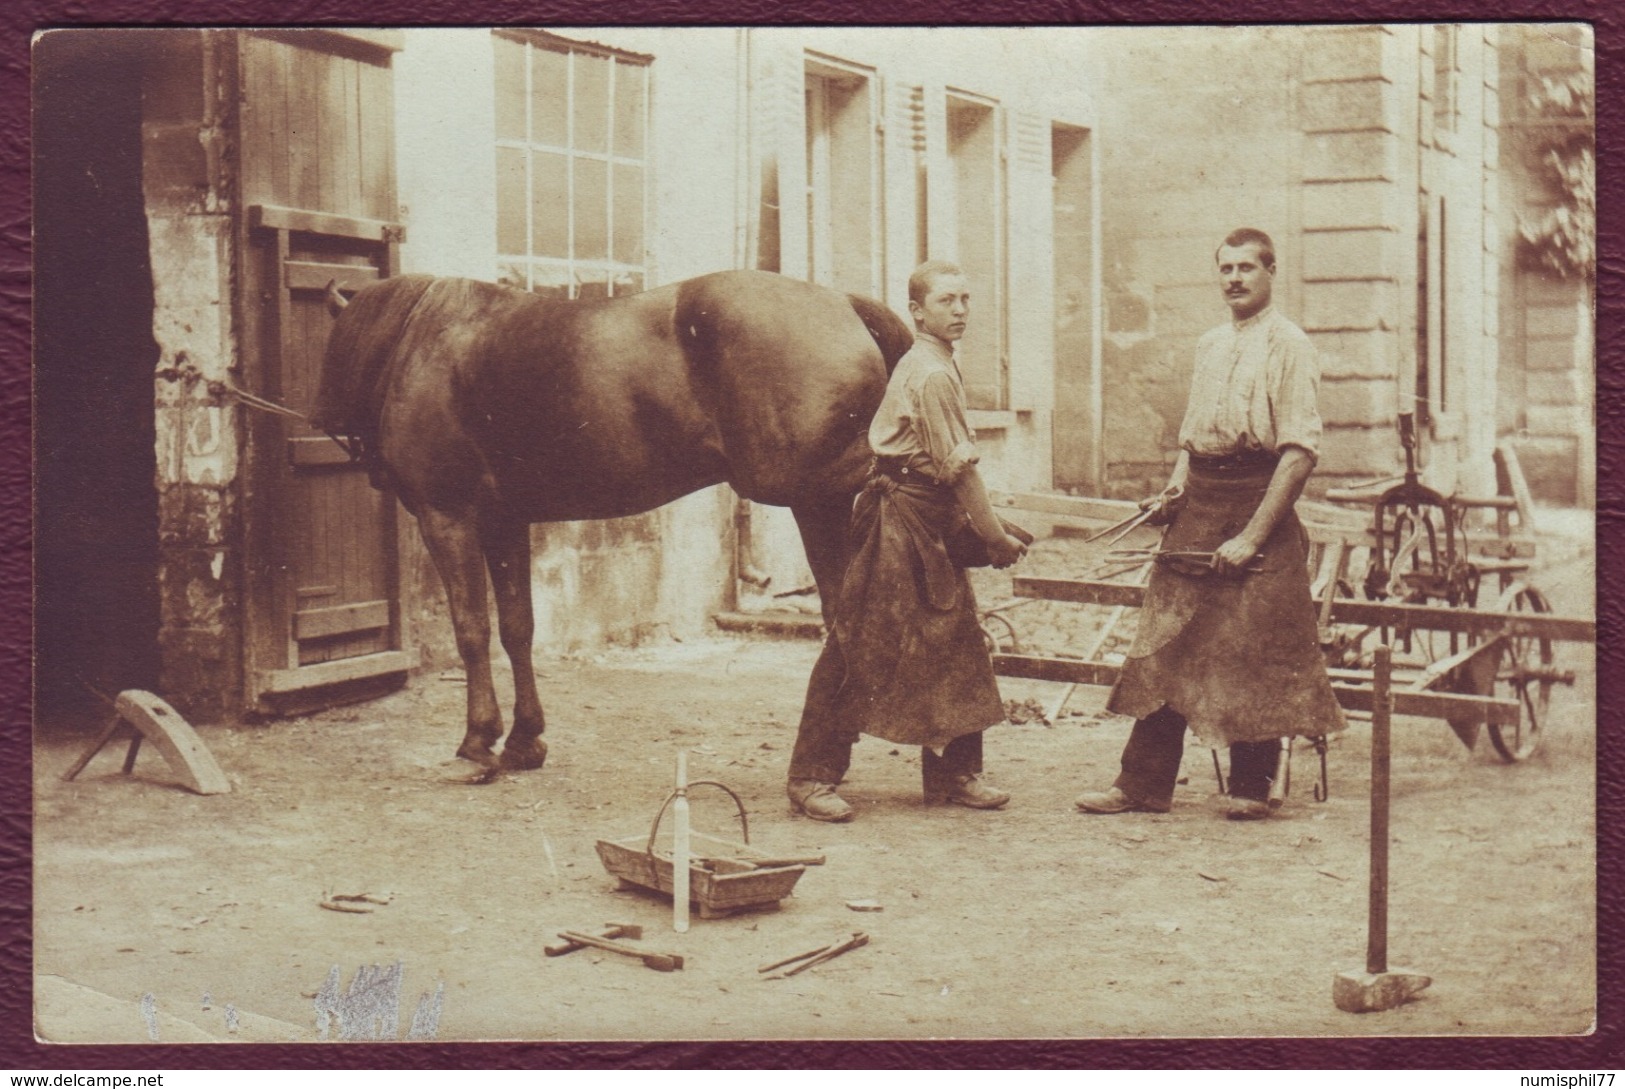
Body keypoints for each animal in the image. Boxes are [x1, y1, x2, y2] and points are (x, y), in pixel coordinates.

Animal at [308, 271, 910, 776]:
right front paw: (524, 740)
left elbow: (472, 629)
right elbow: (517, 627)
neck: (422, 340)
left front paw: (478, 741)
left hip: (816, 490)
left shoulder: (447, 518)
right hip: (823, 502)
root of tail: (840, 301)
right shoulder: (505, 524)